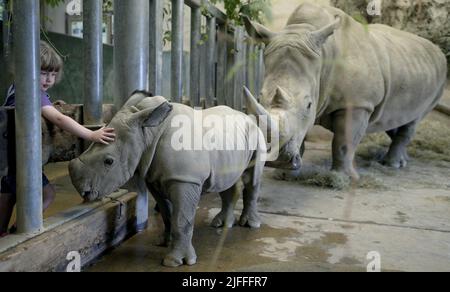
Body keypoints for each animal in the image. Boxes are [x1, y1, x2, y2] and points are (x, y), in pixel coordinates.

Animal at [68, 91, 266, 266]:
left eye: (109, 161)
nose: (83, 191)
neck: (147, 133)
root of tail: (247, 116)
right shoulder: (155, 177)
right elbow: (167, 212)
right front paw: (163, 243)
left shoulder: (184, 179)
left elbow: (182, 219)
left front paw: (176, 262)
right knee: (225, 182)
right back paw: (221, 224)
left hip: (257, 134)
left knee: (253, 179)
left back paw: (250, 225)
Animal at [244, 3, 448, 179]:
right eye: (258, 99)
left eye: (309, 104)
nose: (274, 158)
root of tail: (438, 51)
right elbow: (301, 134)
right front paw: (284, 175)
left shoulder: (358, 103)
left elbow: (343, 142)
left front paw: (340, 177)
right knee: (394, 119)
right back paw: (403, 161)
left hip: (439, 80)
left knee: (413, 120)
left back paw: (392, 165)